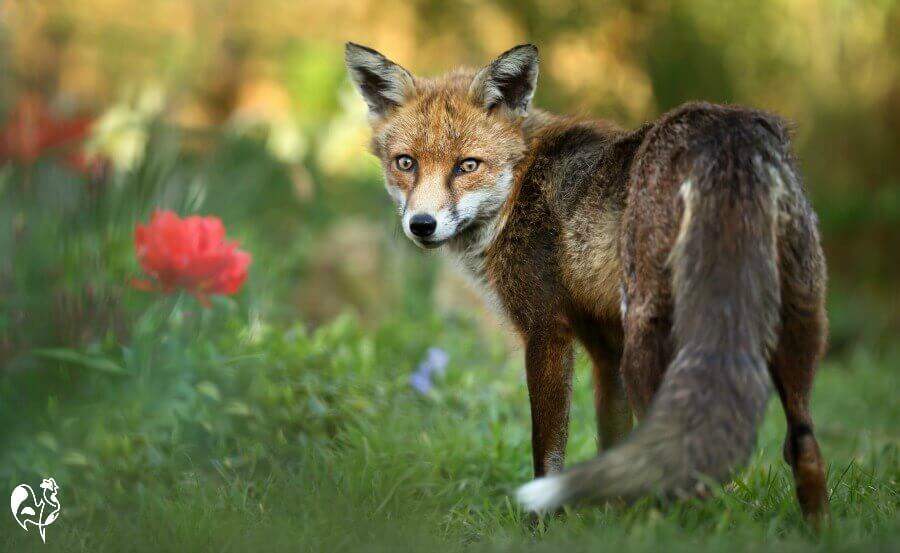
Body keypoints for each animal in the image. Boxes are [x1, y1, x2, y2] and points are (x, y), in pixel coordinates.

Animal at [345, 42, 829, 521]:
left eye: (468, 166)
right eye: (405, 163)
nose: (421, 225)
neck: (517, 190)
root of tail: (727, 132)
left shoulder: (547, 332)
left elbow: (547, 452)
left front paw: (541, 524)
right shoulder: (605, 346)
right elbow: (613, 442)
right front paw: (611, 521)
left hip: (651, 345)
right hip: (797, 327)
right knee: (804, 448)